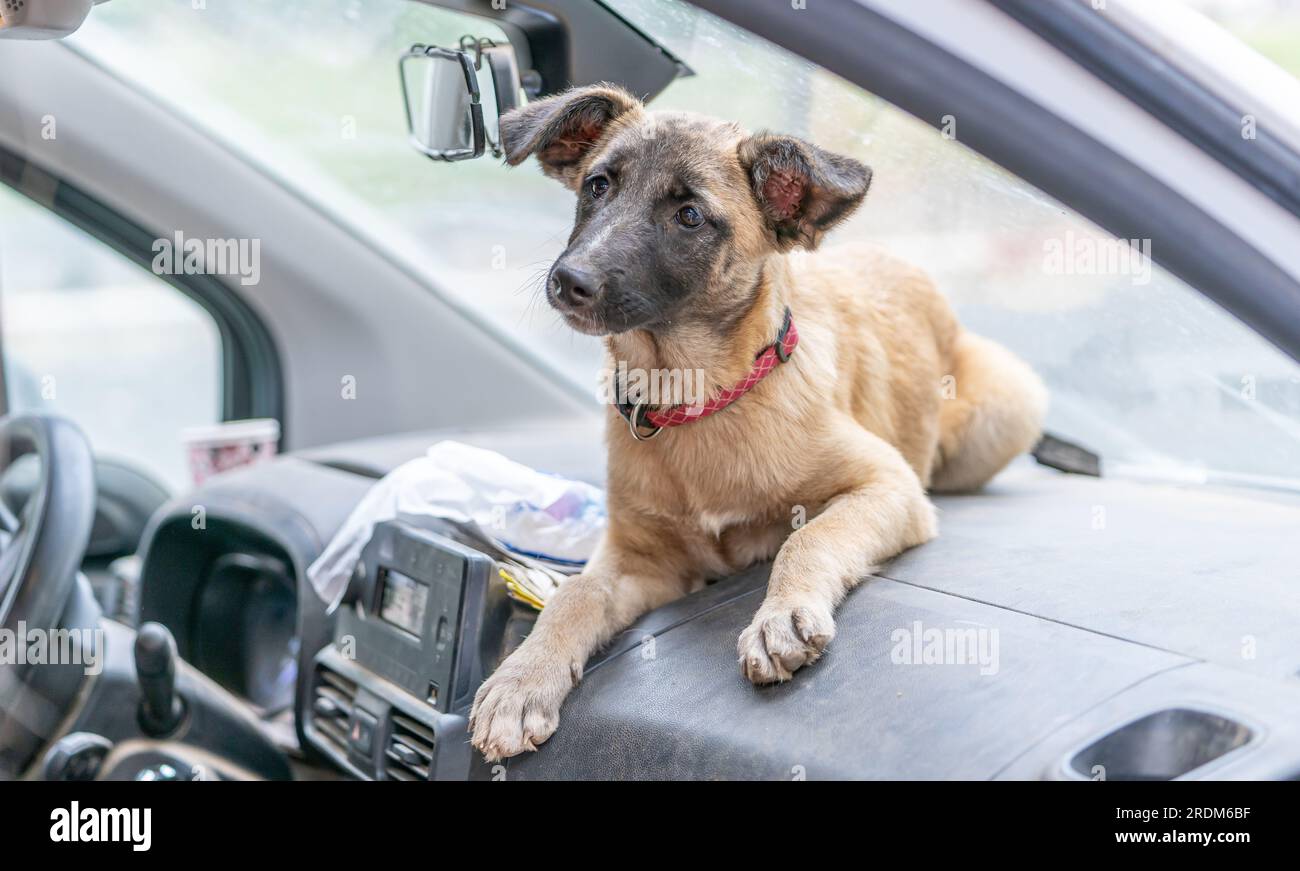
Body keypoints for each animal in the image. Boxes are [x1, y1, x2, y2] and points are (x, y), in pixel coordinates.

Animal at [467, 85, 1045, 759]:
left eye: (690, 216)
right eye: (598, 185)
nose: (568, 281)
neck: (696, 398)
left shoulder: (887, 486)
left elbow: (806, 537)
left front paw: (779, 617)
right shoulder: (640, 560)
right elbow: (574, 595)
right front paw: (522, 680)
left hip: (1010, 405)